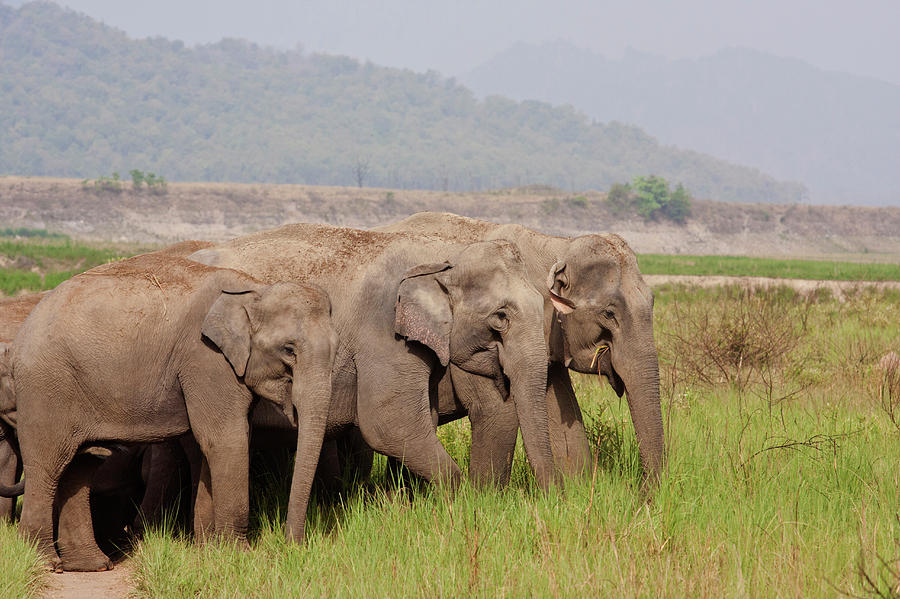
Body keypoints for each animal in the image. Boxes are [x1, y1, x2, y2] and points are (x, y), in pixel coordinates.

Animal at [13, 253, 338, 572]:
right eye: (288, 350)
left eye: (335, 351)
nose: (293, 548)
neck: (255, 289)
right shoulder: (205, 359)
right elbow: (226, 440)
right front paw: (239, 556)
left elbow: (219, 442)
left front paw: (210, 552)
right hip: (45, 388)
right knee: (48, 465)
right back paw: (45, 562)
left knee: (81, 463)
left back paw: (91, 565)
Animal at [376, 212, 664, 492]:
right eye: (609, 313)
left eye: (652, 302)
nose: (644, 495)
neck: (557, 245)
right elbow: (498, 409)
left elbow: (562, 409)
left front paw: (577, 492)